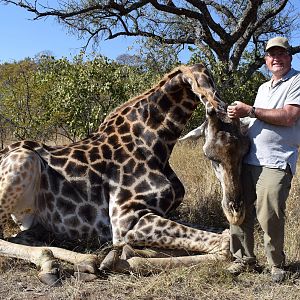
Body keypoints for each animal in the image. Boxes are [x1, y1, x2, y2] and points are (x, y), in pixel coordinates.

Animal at [0, 62, 247, 284]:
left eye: (245, 152)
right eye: (210, 155)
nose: (236, 212)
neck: (156, 145)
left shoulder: (159, 212)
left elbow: (223, 234)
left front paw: (129, 253)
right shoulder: (125, 220)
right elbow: (223, 245)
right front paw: (125, 258)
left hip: (32, 220)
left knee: (25, 238)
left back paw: (82, 260)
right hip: (25, 160)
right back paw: (55, 264)